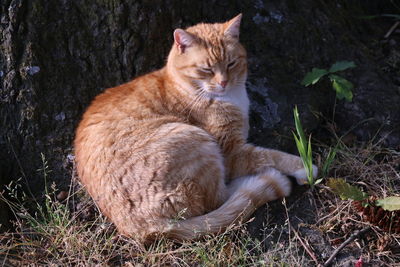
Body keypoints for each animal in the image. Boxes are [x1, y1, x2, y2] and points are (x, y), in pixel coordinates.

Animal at [75, 14, 318, 245]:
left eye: (231, 64)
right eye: (206, 69)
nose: (223, 82)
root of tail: (144, 228)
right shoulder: (231, 152)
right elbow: (271, 156)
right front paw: (304, 167)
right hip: (195, 141)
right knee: (219, 199)